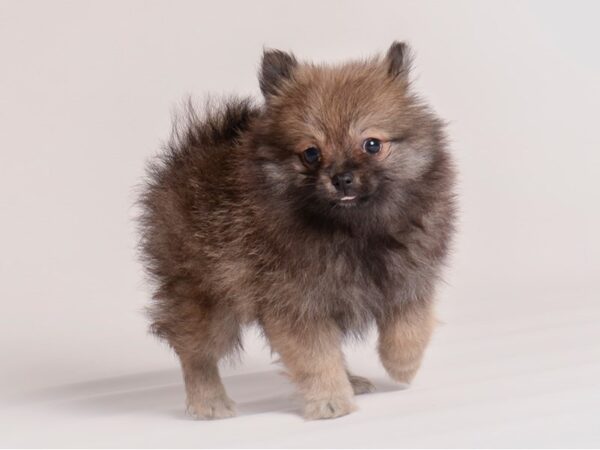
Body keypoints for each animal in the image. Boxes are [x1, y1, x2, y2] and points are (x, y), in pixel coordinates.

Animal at [138, 40, 454, 420]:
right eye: (311, 153)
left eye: (372, 144)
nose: (341, 177)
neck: (352, 229)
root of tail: (192, 150)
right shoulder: (297, 303)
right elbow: (316, 357)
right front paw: (331, 401)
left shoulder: (409, 275)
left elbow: (410, 325)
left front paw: (402, 364)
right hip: (208, 297)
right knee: (195, 351)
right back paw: (208, 400)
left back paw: (353, 380)